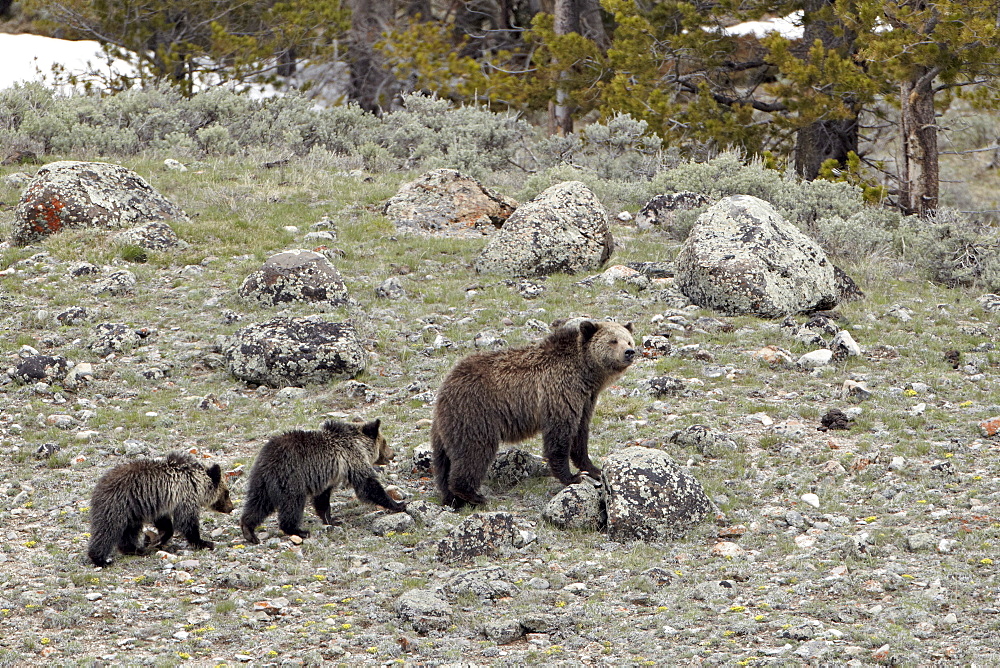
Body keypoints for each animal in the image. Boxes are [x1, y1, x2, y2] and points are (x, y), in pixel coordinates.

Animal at [86, 452, 234, 568]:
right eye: (227, 493)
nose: (231, 508)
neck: (196, 482)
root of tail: (98, 487)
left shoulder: (160, 503)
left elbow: (165, 523)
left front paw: (159, 539)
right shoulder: (185, 496)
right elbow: (187, 522)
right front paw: (204, 542)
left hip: (132, 512)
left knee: (129, 531)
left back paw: (136, 549)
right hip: (118, 505)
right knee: (107, 530)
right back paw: (100, 559)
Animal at [240, 420, 404, 544]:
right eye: (385, 442)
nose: (393, 454)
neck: (359, 444)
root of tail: (267, 458)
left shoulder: (326, 477)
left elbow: (322, 499)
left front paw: (332, 519)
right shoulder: (352, 460)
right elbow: (368, 485)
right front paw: (398, 504)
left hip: (262, 481)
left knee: (258, 503)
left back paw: (248, 530)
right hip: (291, 477)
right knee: (292, 504)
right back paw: (299, 530)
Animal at [430, 320, 632, 508]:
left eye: (628, 340)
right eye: (613, 341)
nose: (629, 352)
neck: (587, 374)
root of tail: (446, 385)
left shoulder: (585, 401)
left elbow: (580, 434)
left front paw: (593, 469)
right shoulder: (560, 393)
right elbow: (560, 435)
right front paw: (572, 476)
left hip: (446, 426)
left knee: (443, 461)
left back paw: (451, 498)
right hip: (475, 413)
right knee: (474, 451)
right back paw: (473, 495)